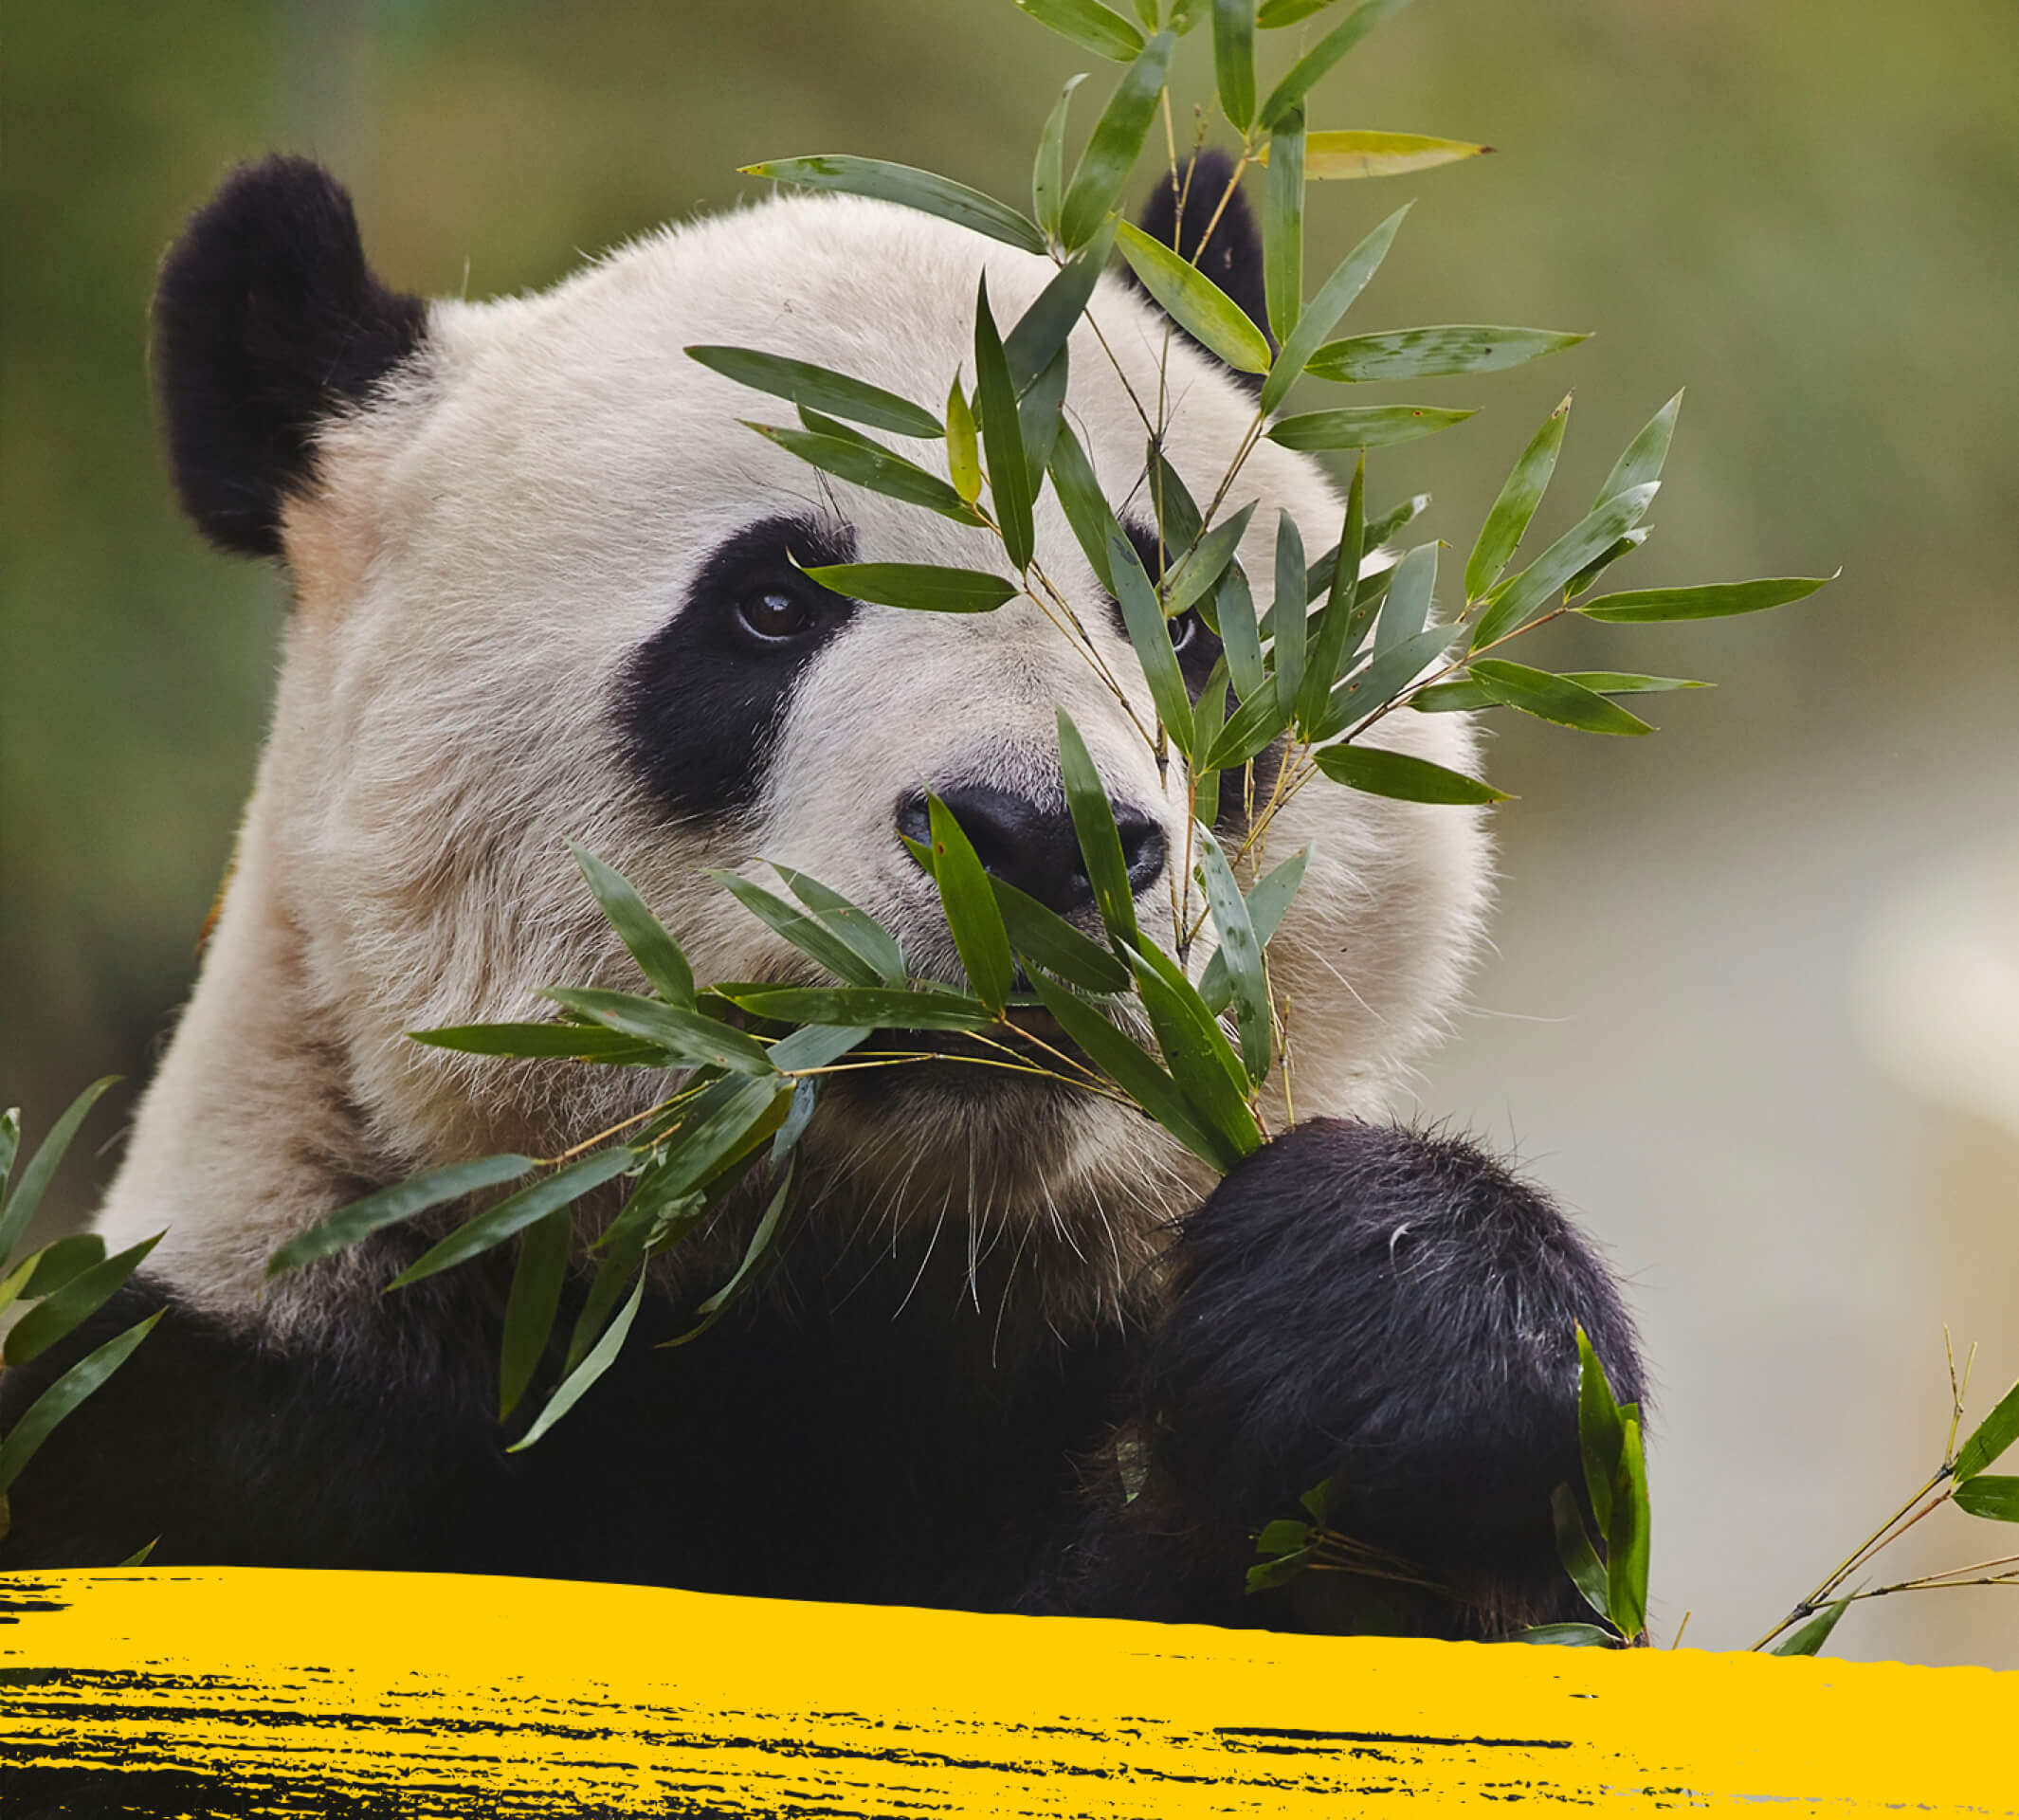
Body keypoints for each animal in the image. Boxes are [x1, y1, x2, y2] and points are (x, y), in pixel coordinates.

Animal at [0, 154, 1642, 1639]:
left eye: (1182, 623)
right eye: (772, 603)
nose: (1034, 840)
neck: (863, 1284)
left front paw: (1393, 1324)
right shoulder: (247, 1407)